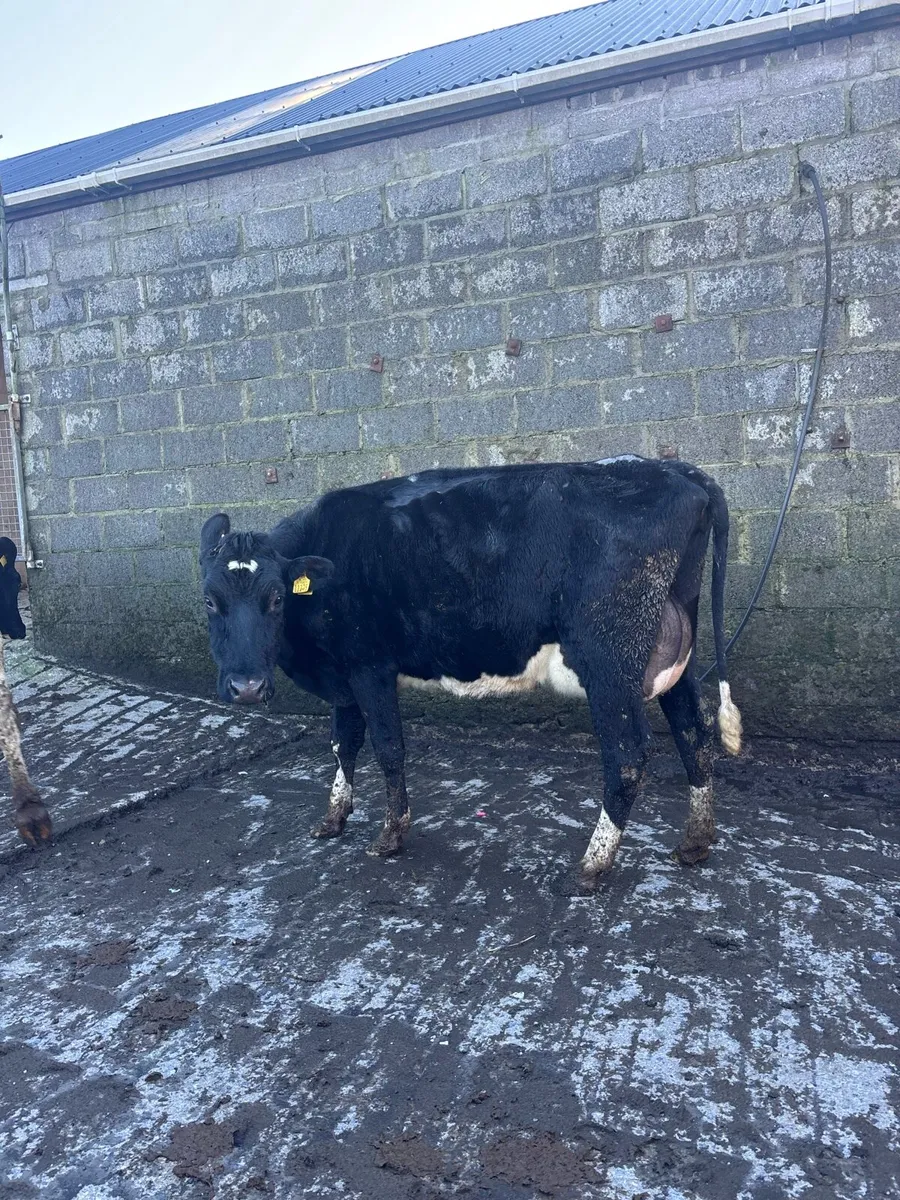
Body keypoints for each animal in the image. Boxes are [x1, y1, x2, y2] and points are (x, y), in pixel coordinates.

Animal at [199, 458, 742, 886]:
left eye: (276, 598)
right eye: (209, 600)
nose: (246, 688)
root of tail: (675, 469)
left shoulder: (369, 667)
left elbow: (387, 747)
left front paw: (390, 835)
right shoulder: (343, 675)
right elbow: (343, 743)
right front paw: (334, 818)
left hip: (609, 661)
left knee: (628, 754)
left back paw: (590, 867)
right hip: (673, 654)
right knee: (694, 733)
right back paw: (695, 842)